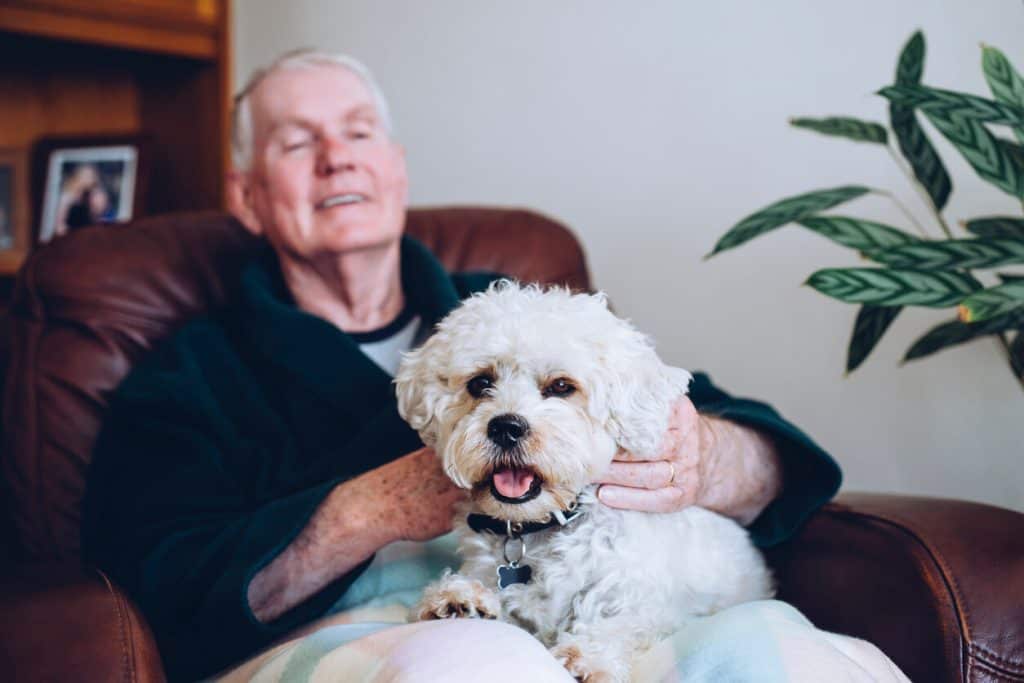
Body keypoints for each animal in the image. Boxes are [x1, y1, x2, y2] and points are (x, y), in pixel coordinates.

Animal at [395, 280, 770, 679]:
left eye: (561, 386)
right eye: (480, 383)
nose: (506, 427)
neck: (539, 527)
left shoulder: (643, 601)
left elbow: (619, 624)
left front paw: (586, 657)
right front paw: (459, 597)